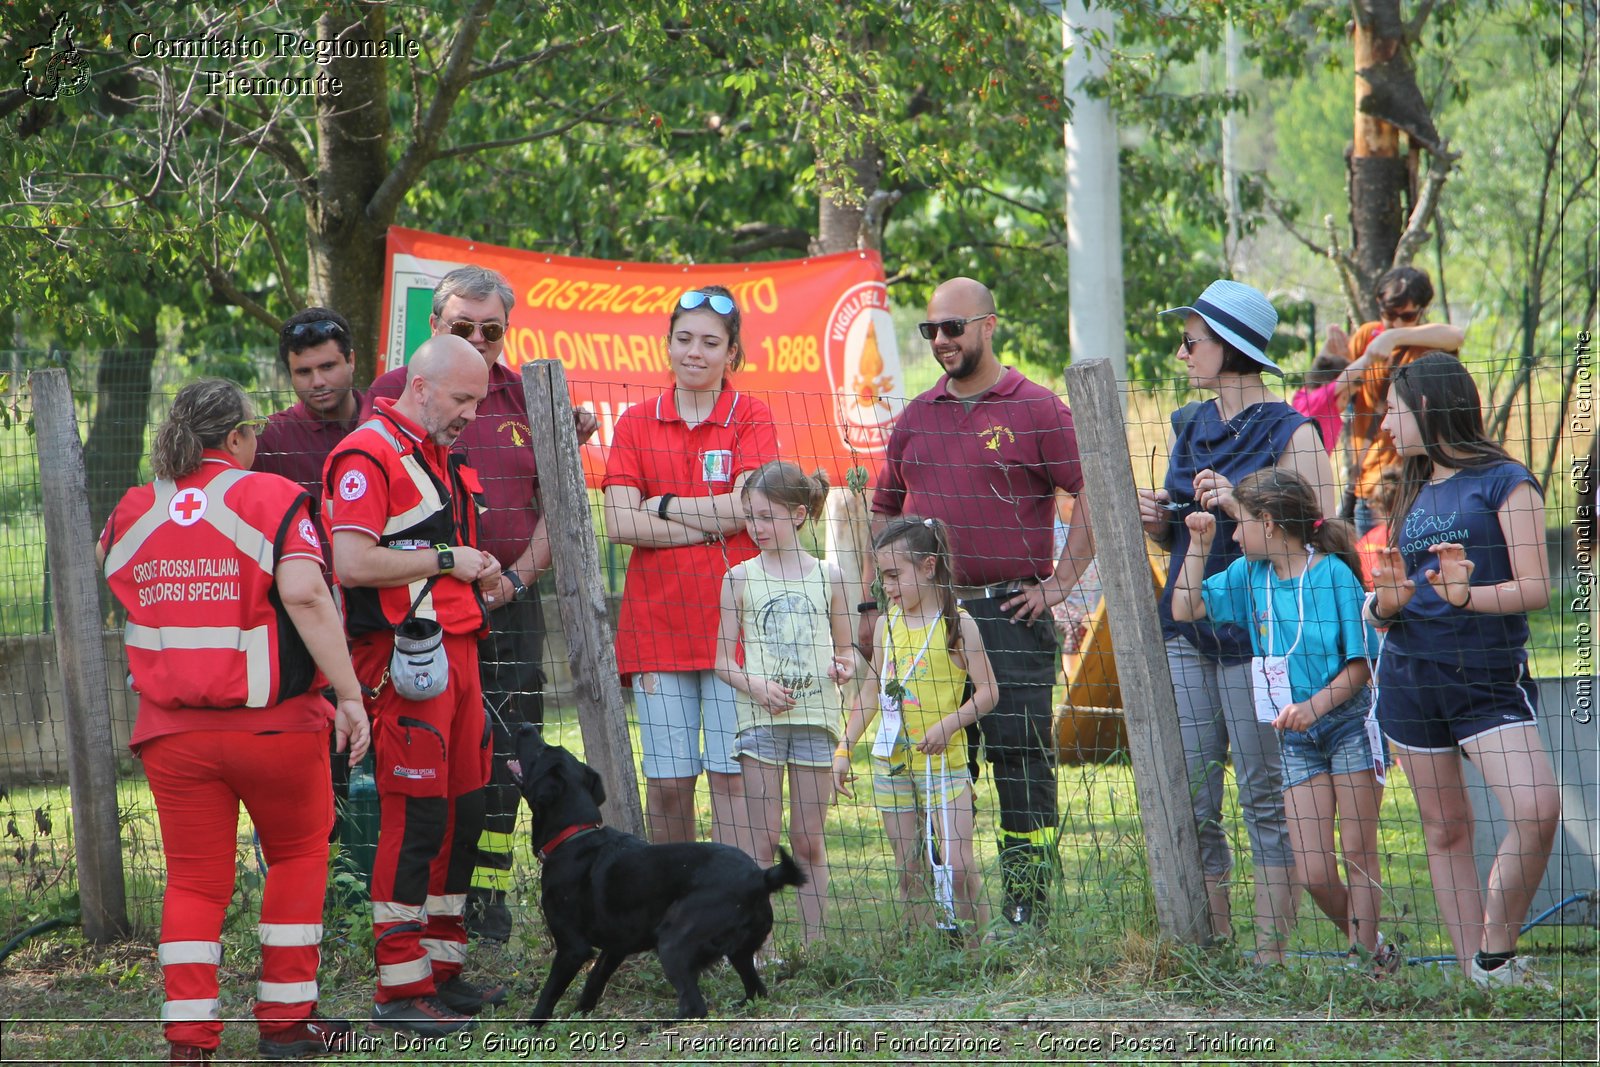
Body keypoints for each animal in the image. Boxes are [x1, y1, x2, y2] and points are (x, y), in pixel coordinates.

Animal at [512, 726, 806, 1023]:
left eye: (542, 751)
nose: (525, 727)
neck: (574, 836)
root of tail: (760, 878)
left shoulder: (573, 948)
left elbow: (548, 995)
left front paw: (534, 1026)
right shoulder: (615, 946)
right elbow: (594, 980)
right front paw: (580, 1014)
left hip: (672, 942)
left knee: (695, 1007)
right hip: (740, 953)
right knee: (756, 991)